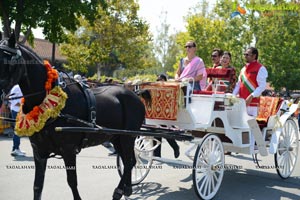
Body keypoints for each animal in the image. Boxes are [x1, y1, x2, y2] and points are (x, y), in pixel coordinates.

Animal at [0, 34, 146, 200]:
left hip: (128, 136)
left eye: (8, 62)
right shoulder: (39, 151)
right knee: (129, 160)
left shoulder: (68, 150)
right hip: (116, 137)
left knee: (129, 161)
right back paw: (126, 189)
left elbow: (72, 181)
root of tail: (135, 94)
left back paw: (119, 191)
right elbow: (37, 186)